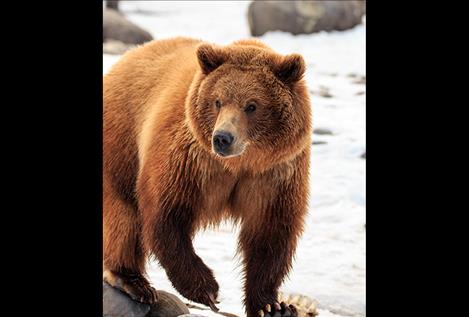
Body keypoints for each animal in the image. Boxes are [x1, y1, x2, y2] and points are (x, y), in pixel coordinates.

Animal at [104, 37, 312, 316]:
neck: (240, 163)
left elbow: (270, 233)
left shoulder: (276, 175)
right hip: (122, 143)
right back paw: (132, 281)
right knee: (124, 213)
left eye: (252, 105)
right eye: (218, 101)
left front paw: (274, 306)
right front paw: (207, 289)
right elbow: (166, 215)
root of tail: (129, 55)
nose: (222, 138)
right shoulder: (190, 161)